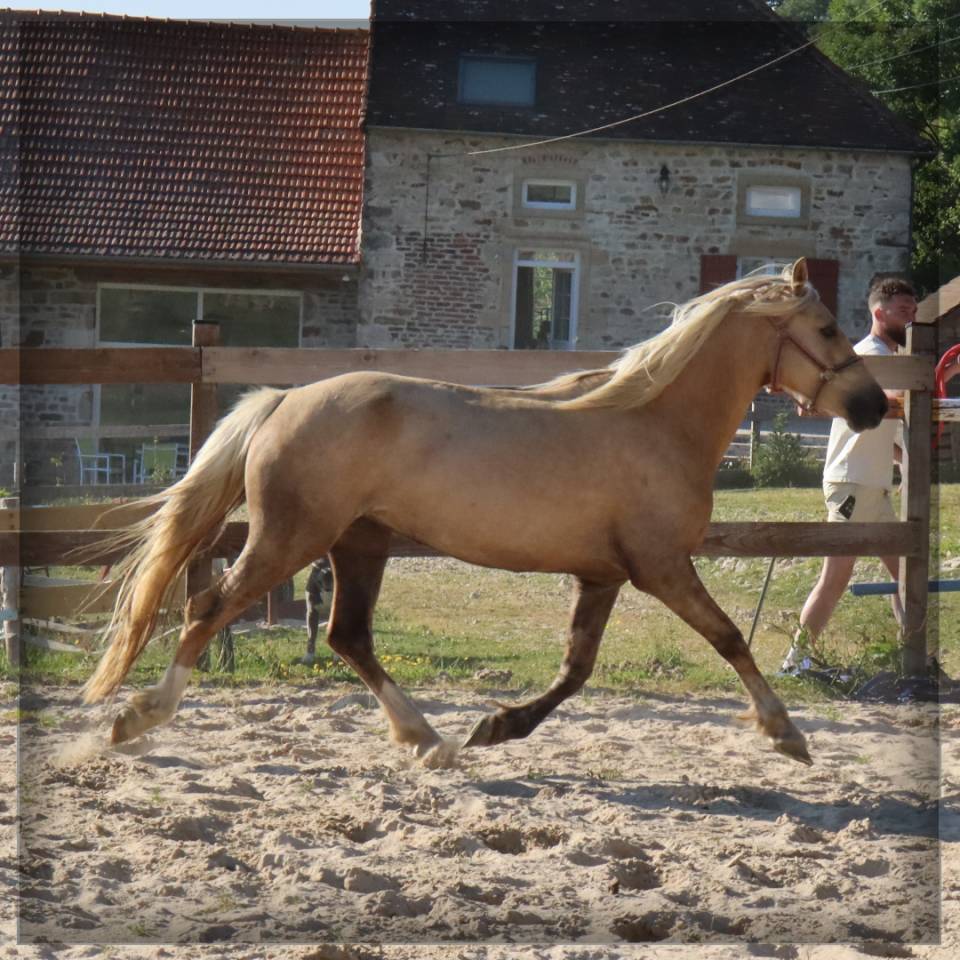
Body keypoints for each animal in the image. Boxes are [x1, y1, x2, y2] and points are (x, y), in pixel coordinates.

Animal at [83, 259, 887, 767]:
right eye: (826, 329)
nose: (875, 406)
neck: (656, 421)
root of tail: (282, 399)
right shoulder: (661, 566)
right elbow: (728, 639)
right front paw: (786, 733)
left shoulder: (604, 575)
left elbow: (576, 669)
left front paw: (499, 727)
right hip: (290, 538)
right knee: (211, 608)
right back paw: (136, 718)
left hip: (358, 544)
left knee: (348, 636)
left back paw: (427, 739)